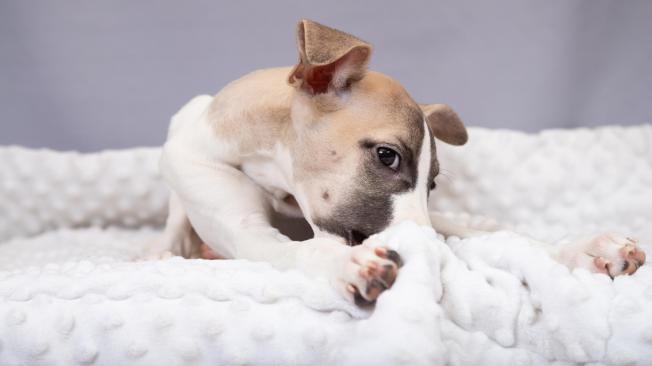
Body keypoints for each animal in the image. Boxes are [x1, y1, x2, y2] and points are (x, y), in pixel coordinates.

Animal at [150, 20, 644, 306]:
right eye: (387, 156)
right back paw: (169, 250)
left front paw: (584, 249)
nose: (430, 251)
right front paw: (350, 264)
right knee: (176, 222)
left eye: (433, 183)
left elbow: (487, 234)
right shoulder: (245, 230)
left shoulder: (424, 218)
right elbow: (297, 249)